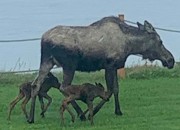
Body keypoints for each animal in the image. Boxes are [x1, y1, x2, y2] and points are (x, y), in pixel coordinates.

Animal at [27, 16, 174, 123]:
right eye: (160, 41)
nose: (171, 60)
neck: (130, 45)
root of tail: (43, 39)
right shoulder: (109, 65)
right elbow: (108, 91)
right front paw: (92, 113)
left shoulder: (114, 66)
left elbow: (116, 89)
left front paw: (118, 111)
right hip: (69, 64)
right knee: (63, 87)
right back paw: (80, 114)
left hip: (47, 62)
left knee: (35, 85)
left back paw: (31, 117)